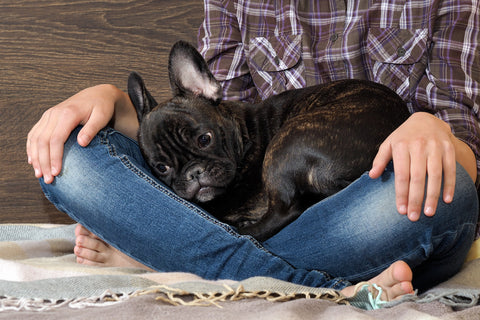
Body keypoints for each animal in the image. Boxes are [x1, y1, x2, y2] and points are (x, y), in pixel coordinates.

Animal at [126, 40, 408, 241]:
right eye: (161, 167)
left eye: (204, 139)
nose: (193, 172)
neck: (244, 136)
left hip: (285, 142)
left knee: (284, 211)